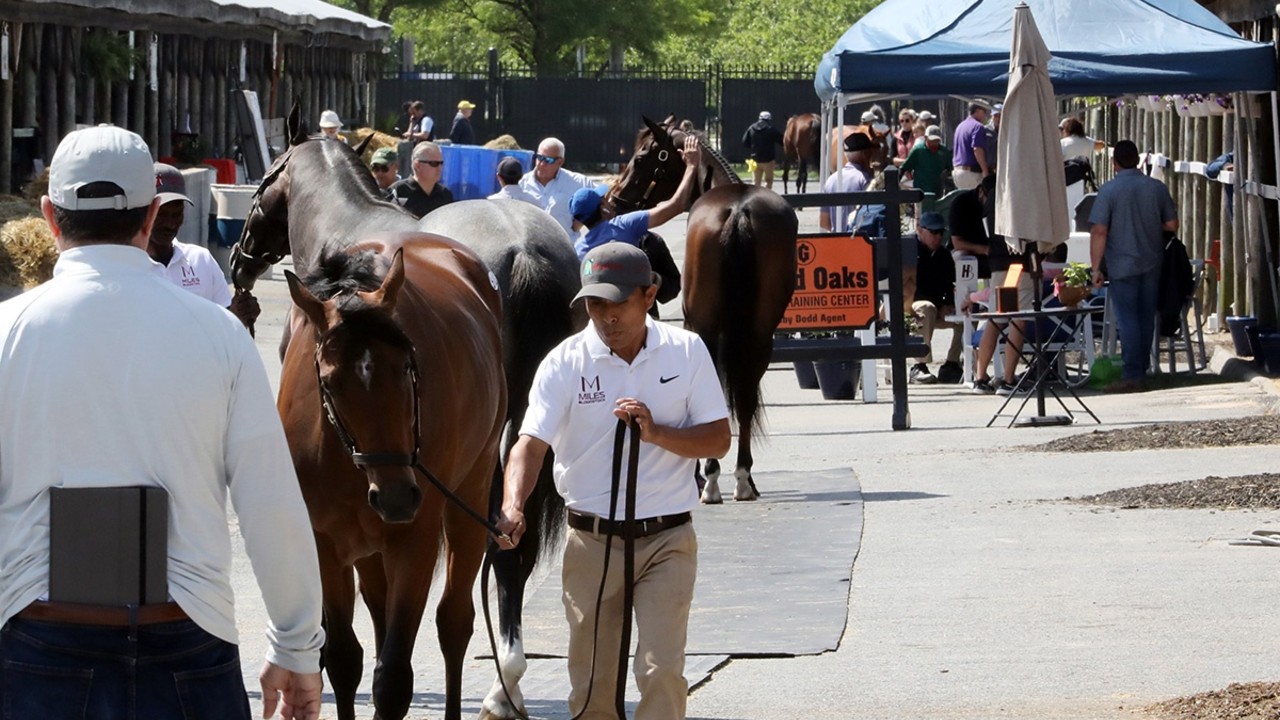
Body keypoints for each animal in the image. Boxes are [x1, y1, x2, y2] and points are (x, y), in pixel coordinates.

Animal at [280, 239, 504, 717]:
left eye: (406, 368)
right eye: (330, 382)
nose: (397, 498)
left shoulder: (413, 541)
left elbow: (394, 677)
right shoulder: (325, 543)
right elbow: (343, 659)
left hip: (469, 498)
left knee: (454, 623)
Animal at [606, 114, 793, 502]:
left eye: (643, 156)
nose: (615, 201)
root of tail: (739, 211)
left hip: (703, 325)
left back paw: (711, 477)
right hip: (760, 333)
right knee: (746, 394)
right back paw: (741, 477)